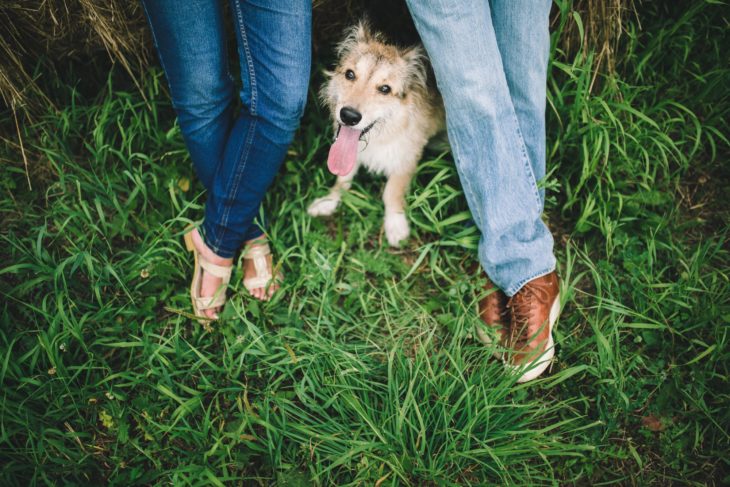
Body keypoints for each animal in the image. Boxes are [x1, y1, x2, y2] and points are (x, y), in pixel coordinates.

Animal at [304, 21, 440, 246]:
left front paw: (395, 224)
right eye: (350, 74)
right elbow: (343, 180)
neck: (381, 136)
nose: (349, 116)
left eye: (385, 89)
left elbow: (392, 191)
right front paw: (329, 201)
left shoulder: (407, 156)